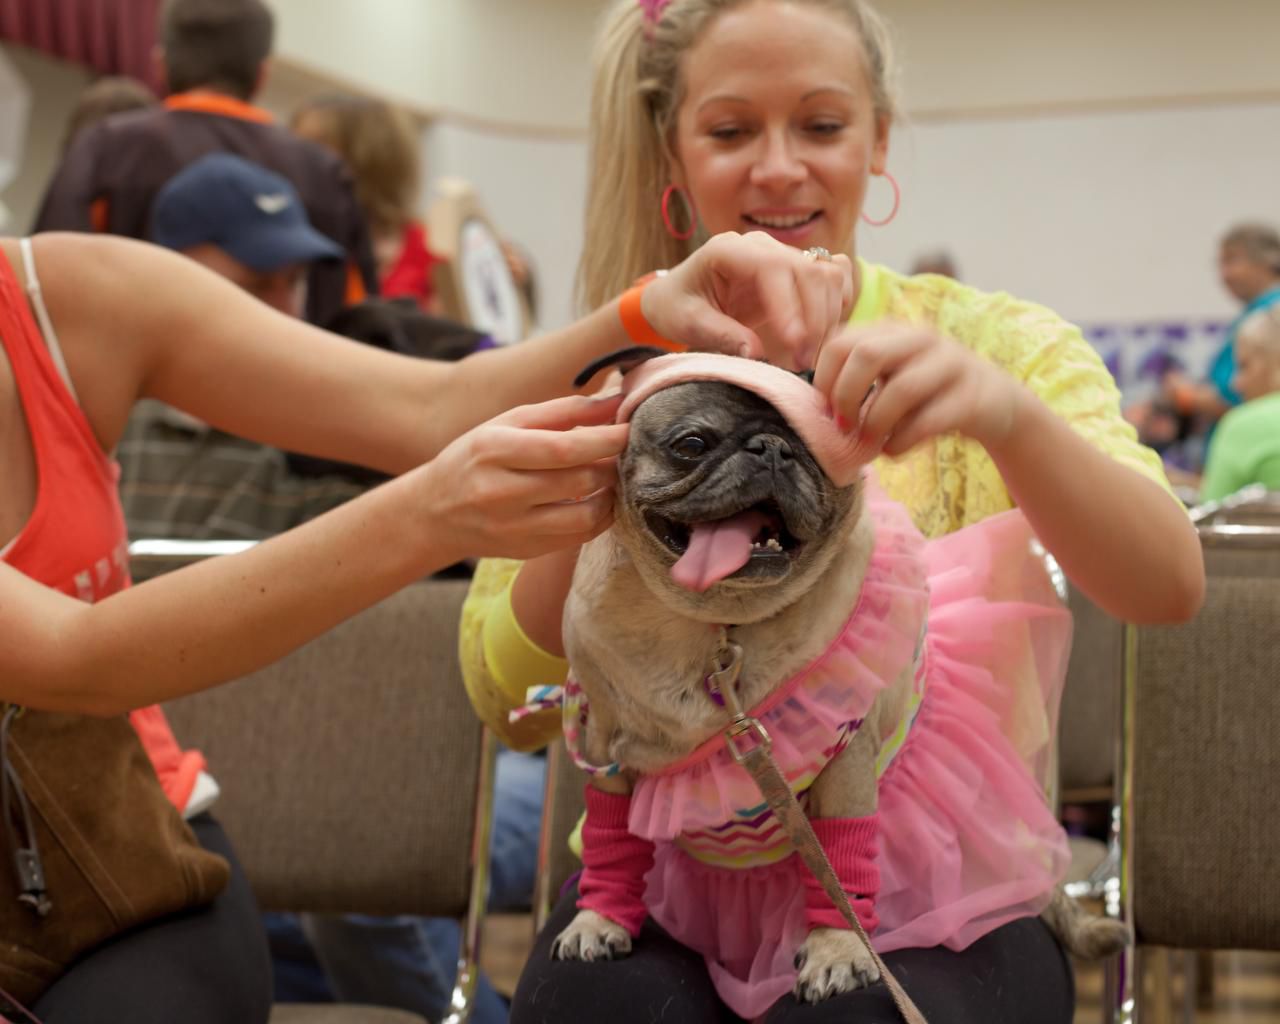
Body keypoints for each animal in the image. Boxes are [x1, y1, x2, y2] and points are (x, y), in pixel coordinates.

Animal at [555, 348, 1126, 1003]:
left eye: (818, 453)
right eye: (692, 444)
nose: (773, 449)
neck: (719, 627)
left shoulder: (845, 764)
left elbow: (843, 860)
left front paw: (839, 950)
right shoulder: (608, 761)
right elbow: (610, 848)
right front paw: (598, 919)